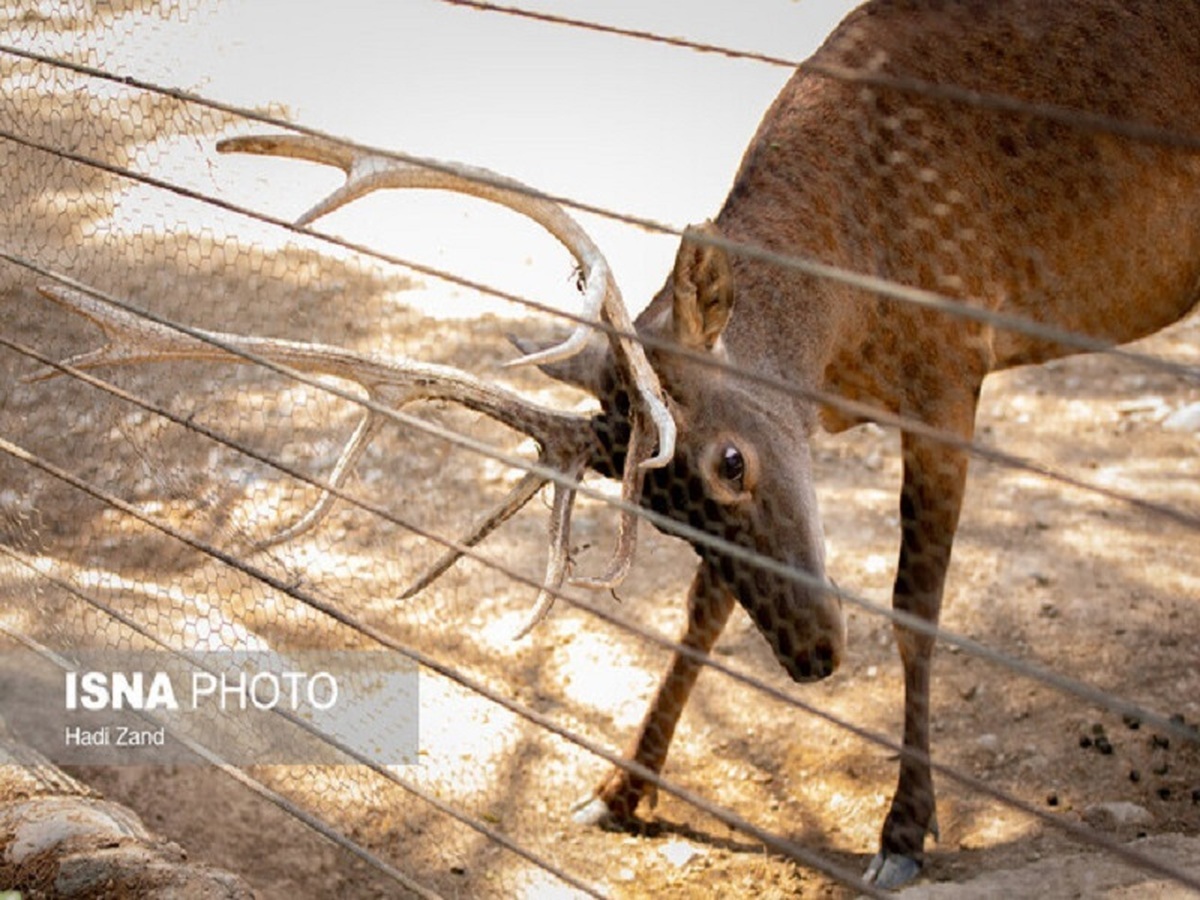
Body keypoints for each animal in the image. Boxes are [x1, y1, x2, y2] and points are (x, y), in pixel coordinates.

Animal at [37, 0, 1200, 892]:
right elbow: (703, 609)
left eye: (731, 460)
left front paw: (903, 834)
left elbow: (918, 606)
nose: (816, 660)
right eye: (656, 503)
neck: (850, 315)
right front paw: (620, 789)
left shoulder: (953, 362)